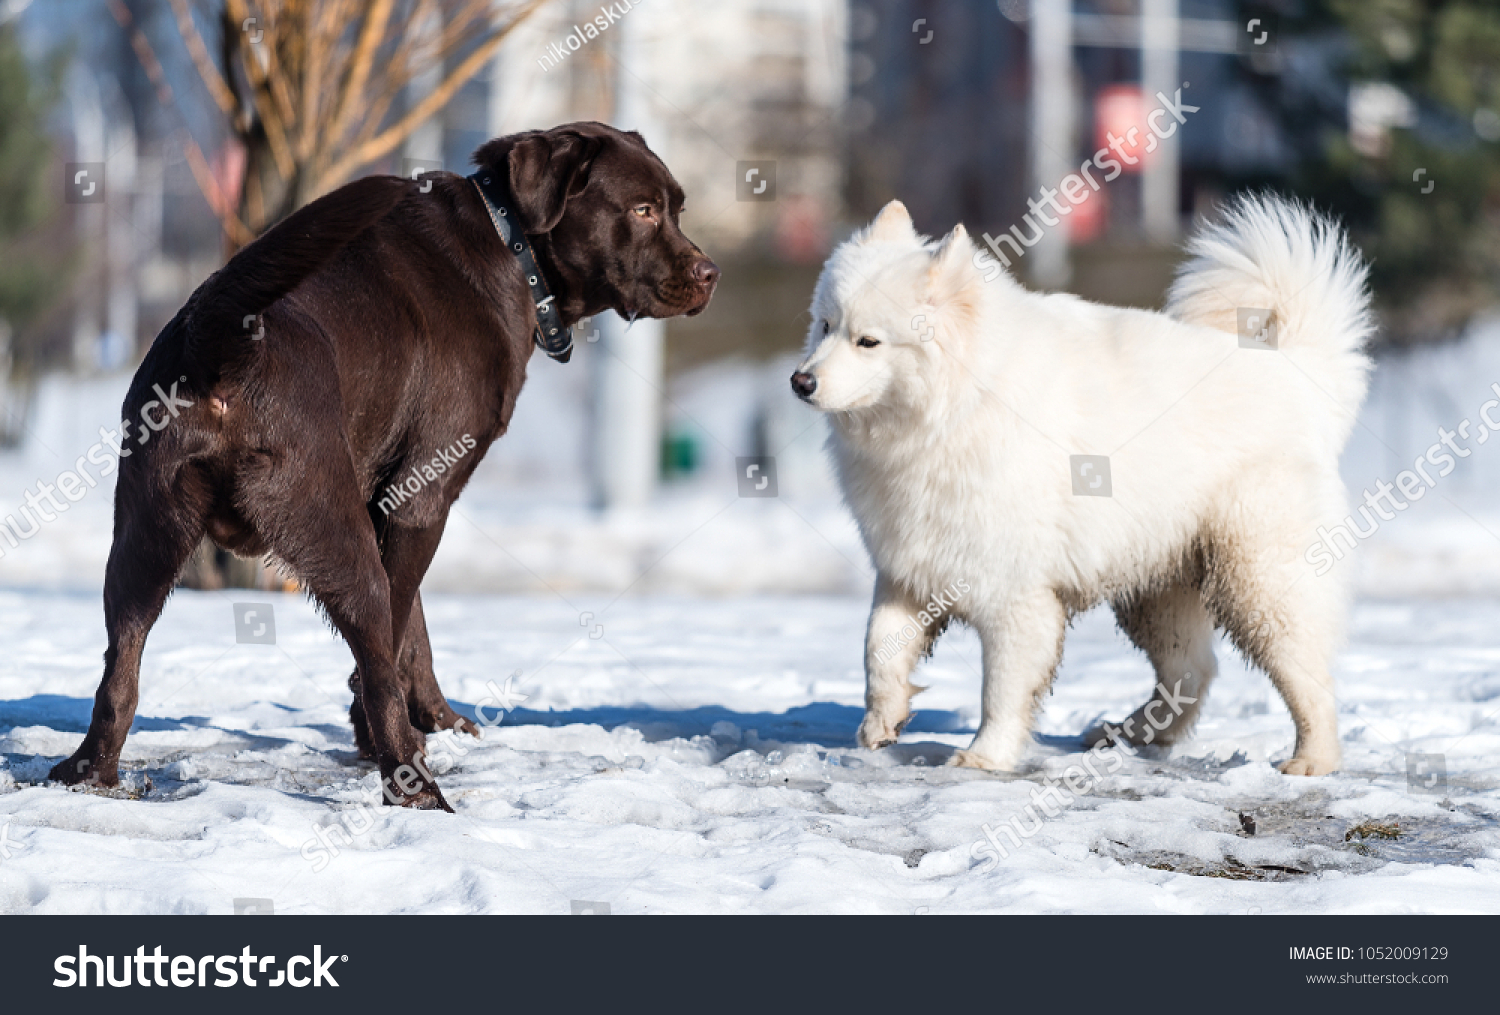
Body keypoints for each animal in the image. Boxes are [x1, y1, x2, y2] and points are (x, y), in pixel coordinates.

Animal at [798, 193, 1374, 773]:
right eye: (824, 325)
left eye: (868, 341)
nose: (800, 382)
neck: (959, 406)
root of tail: (1298, 372)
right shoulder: (910, 569)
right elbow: (878, 645)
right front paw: (881, 720)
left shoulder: (1014, 595)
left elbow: (1001, 688)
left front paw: (985, 757)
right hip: (1155, 591)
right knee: (1191, 673)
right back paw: (1128, 734)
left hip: (1259, 583)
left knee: (1306, 678)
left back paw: (1312, 761)